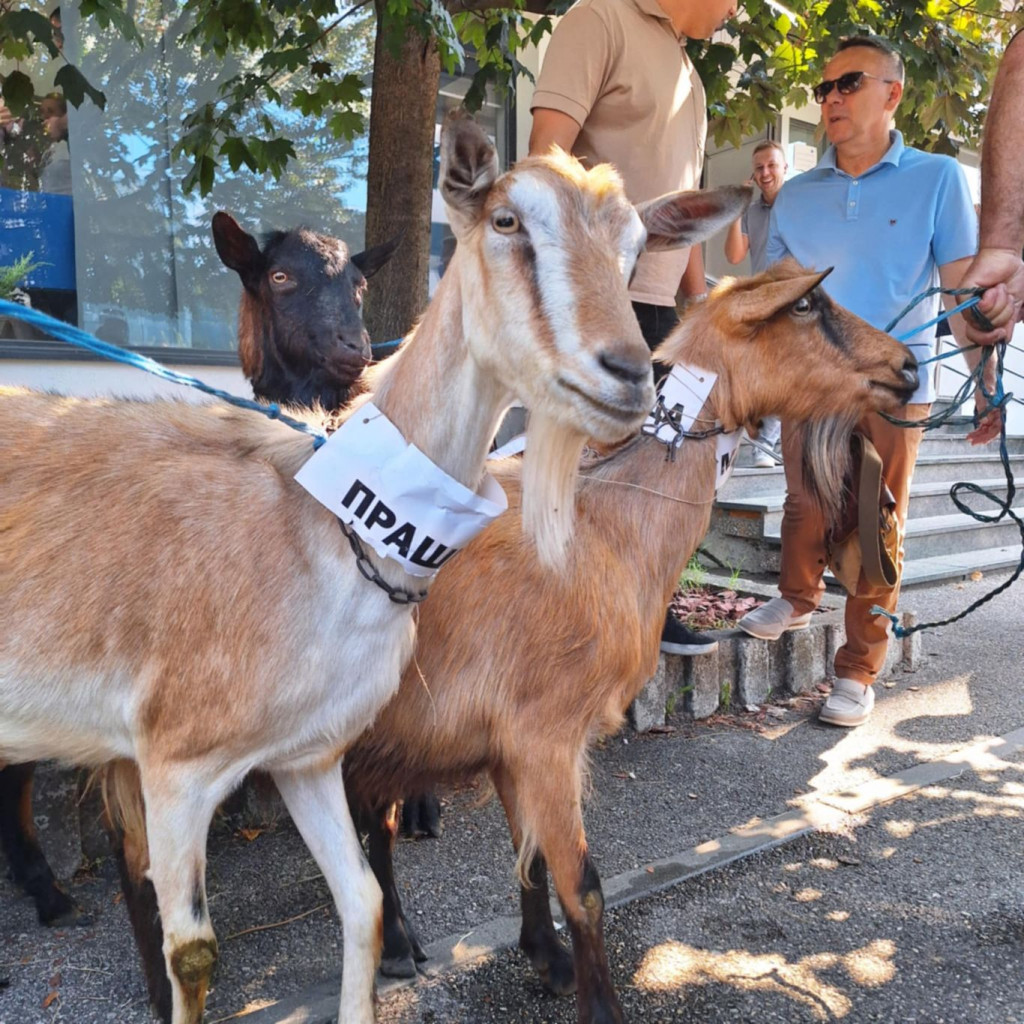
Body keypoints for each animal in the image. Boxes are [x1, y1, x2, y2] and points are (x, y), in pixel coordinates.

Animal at [0, 112, 749, 1024]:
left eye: (637, 245)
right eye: (507, 221)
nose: (630, 374)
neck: (326, 518)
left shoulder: (309, 750)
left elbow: (359, 902)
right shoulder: (175, 759)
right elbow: (194, 953)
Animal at [342, 262, 921, 1024]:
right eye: (806, 305)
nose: (909, 367)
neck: (603, 527)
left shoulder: (513, 741)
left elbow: (533, 855)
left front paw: (547, 958)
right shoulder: (543, 732)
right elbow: (584, 884)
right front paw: (597, 1000)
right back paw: (398, 947)